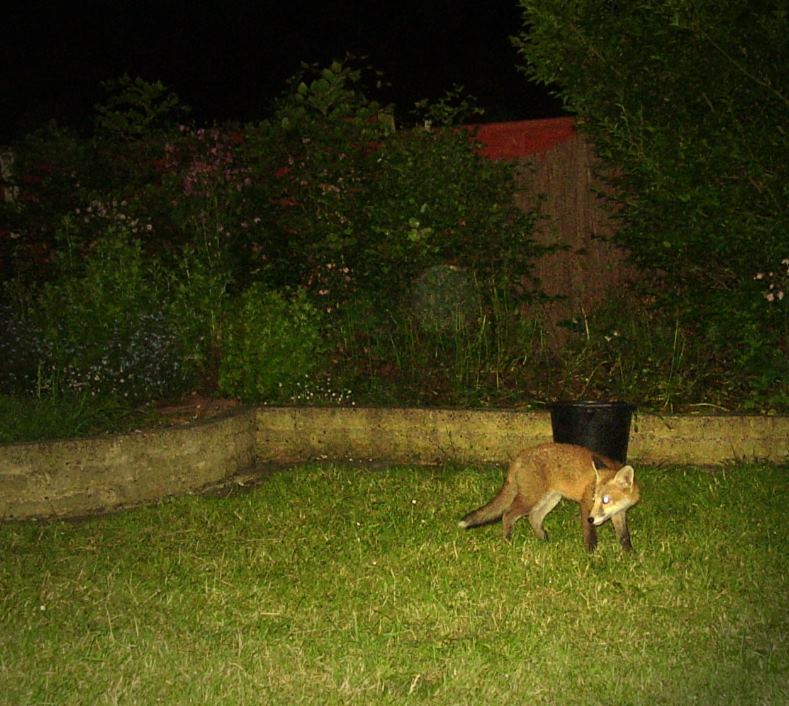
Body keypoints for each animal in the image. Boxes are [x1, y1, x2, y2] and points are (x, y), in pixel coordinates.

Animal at [458, 440, 636, 552]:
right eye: (594, 499)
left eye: (606, 500)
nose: (591, 519)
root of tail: (520, 455)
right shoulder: (585, 504)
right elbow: (590, 534)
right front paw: (591, 552)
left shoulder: (619, 513)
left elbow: (624, 536)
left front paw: (629, 555)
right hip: (531, 499)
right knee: (508, 514)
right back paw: (508, 540)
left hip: (551, 499)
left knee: (533, 518)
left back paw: (543, 540)